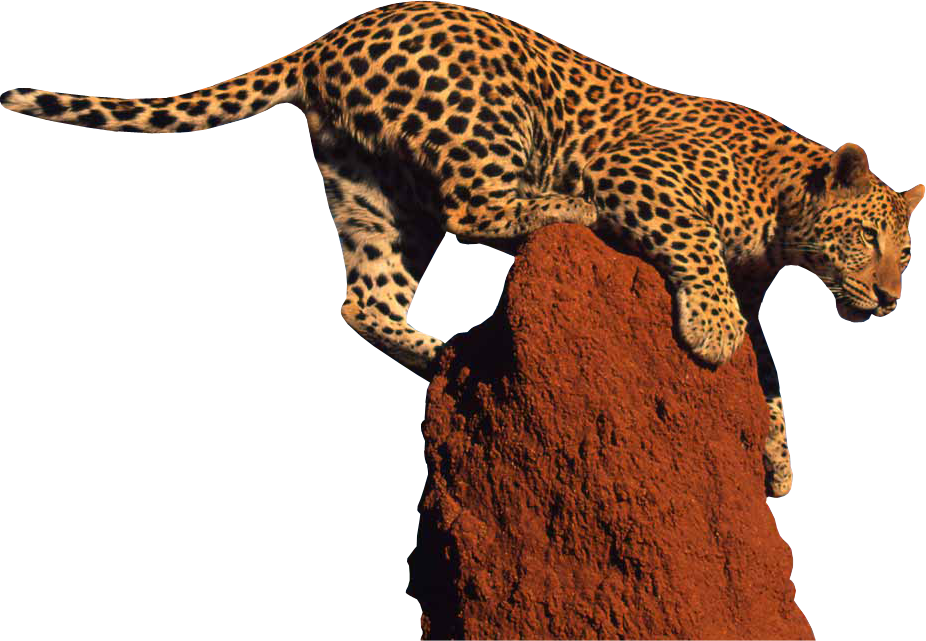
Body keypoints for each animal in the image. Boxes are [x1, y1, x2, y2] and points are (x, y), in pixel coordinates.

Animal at [2, 1, 921, 500]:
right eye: (869, 238)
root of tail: (327, 37)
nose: (889, 299)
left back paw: (445, 358)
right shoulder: (639, 168)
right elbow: (699, 260)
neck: (781, 205)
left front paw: (775, 458)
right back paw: (565, 210)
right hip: (483, 119)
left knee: (364, 299)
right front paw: (709, 333)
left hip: (373, 190)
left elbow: (769, 376)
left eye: (905, 254)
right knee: (480, 205)